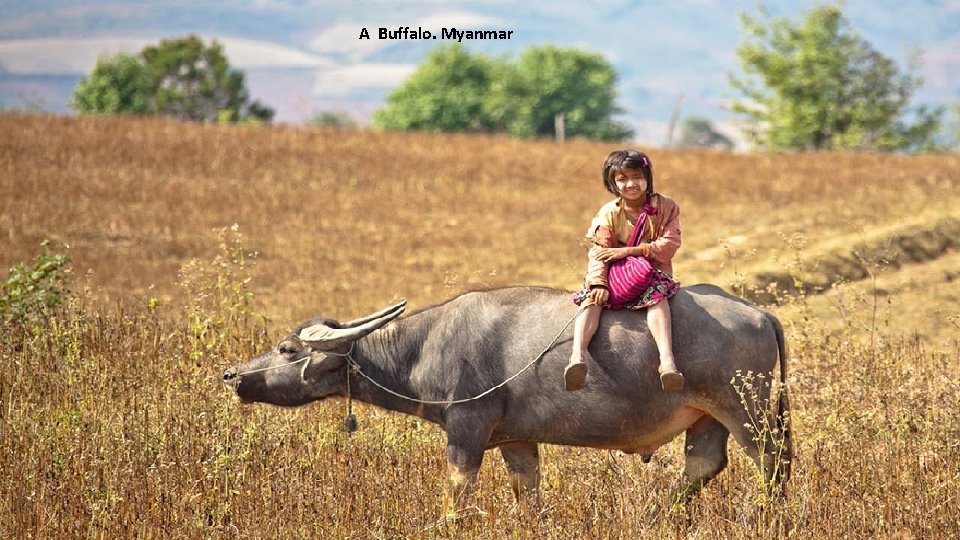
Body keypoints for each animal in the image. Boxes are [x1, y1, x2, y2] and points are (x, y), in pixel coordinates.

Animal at [223, 284, 788, 508]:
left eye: (287, 347)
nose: (231, 375)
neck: (427, 346)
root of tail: (759, 313)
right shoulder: (518, 442)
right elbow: (528, 497)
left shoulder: (466, 431)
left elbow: (456, 496)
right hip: (706, 418)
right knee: (702, 466)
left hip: (749, 413)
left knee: (772, 465)